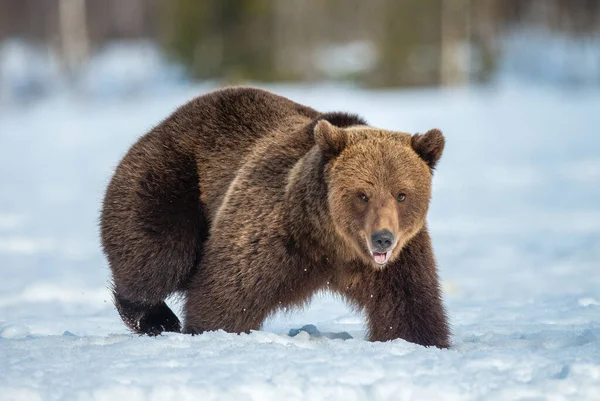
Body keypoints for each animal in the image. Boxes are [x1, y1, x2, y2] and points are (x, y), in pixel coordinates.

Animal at [101, 85, 450, 346]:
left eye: (401, 194)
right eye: (362, 194)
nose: (382, 239)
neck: (333, 244)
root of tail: (170, 119)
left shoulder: (402, 257)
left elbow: (410, 310)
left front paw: (422, 340)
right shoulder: (273, 231)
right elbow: (225, 293)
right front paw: (208, 329)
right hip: (172, 179)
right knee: (160, 255)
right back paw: (156, 318)